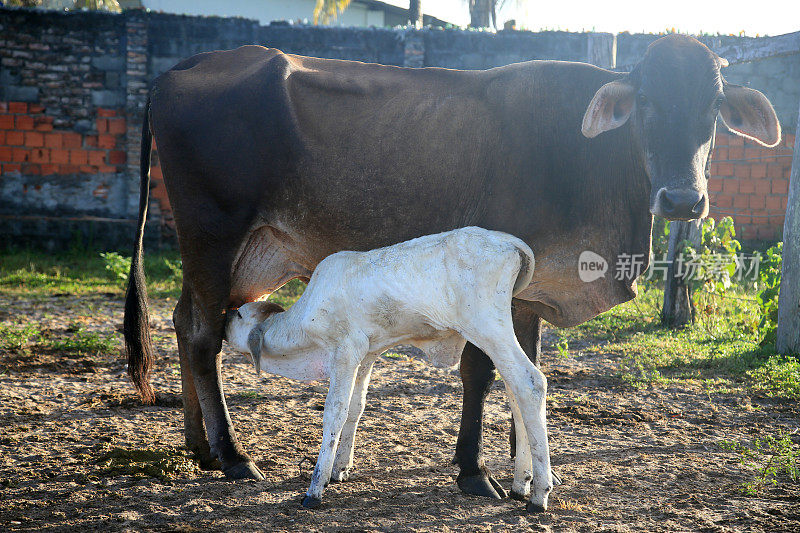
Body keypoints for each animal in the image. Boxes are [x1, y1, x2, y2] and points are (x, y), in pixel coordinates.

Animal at [222, 227, 552, 510]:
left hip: (487, 328)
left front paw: (315, 488)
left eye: (239, 315)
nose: (224, 317)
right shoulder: (366, 355)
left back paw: (539, 495)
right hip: (496, 333)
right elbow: (356, 407)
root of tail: (509, 242)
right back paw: (521, 484)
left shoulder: (344, 350)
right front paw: (339, 470)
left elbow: (335, 412)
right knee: (515, 391)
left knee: (531, 382)